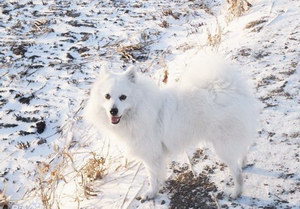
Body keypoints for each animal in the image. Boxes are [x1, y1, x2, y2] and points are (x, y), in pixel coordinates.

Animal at [84, 53, 258, 199]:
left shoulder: (152, 155)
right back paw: (243, 163)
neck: (140, 108)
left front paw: (151, 193)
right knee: (243, 151)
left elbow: (153, 177)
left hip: (223, 146)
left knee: (237, 173)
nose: (113, 111)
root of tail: (231, 89)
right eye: (107, 96)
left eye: (123, 97)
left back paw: (236, 193)